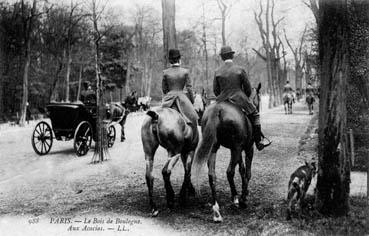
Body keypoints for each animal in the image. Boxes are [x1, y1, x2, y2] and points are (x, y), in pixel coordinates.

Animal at [191, 84, 260, 222]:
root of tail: (218, 110)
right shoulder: (247, 148)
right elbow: (247, 172)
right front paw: (243, 196)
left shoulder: (237, 149)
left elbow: (242, 169)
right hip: (236, 148)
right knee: (229, 172)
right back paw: (237, 199)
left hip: (214, 148)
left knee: (212, 175)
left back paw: (216, 209)